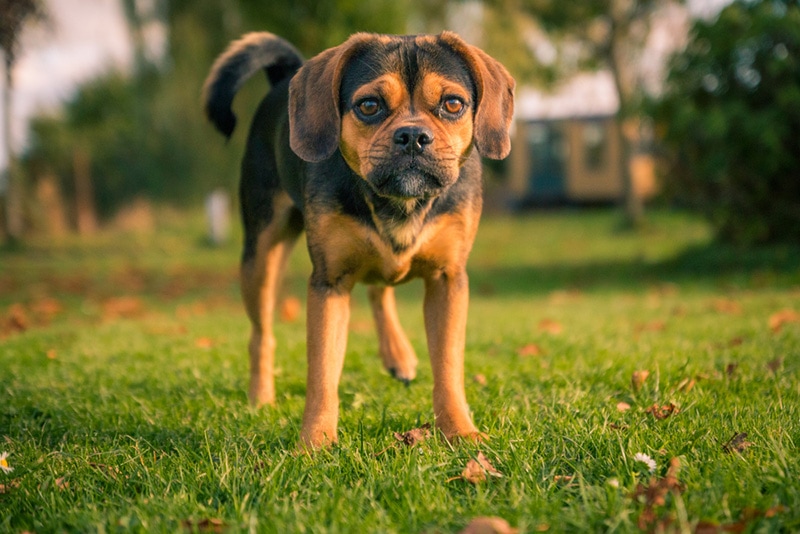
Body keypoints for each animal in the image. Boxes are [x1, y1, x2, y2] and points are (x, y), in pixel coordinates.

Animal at [203, 31, 516, 450]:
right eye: (369, 106)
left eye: (453, 103)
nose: (412, 137)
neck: (398, 203)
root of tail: (286, 77)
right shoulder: (329, 282)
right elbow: (322, 372)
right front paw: (315, 442)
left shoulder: (447, 279)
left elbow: (449, 366)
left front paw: (459, 431)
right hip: (260, 256)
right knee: (261, 334)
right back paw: (261, 398)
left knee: (379, 289)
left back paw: (398, 355)